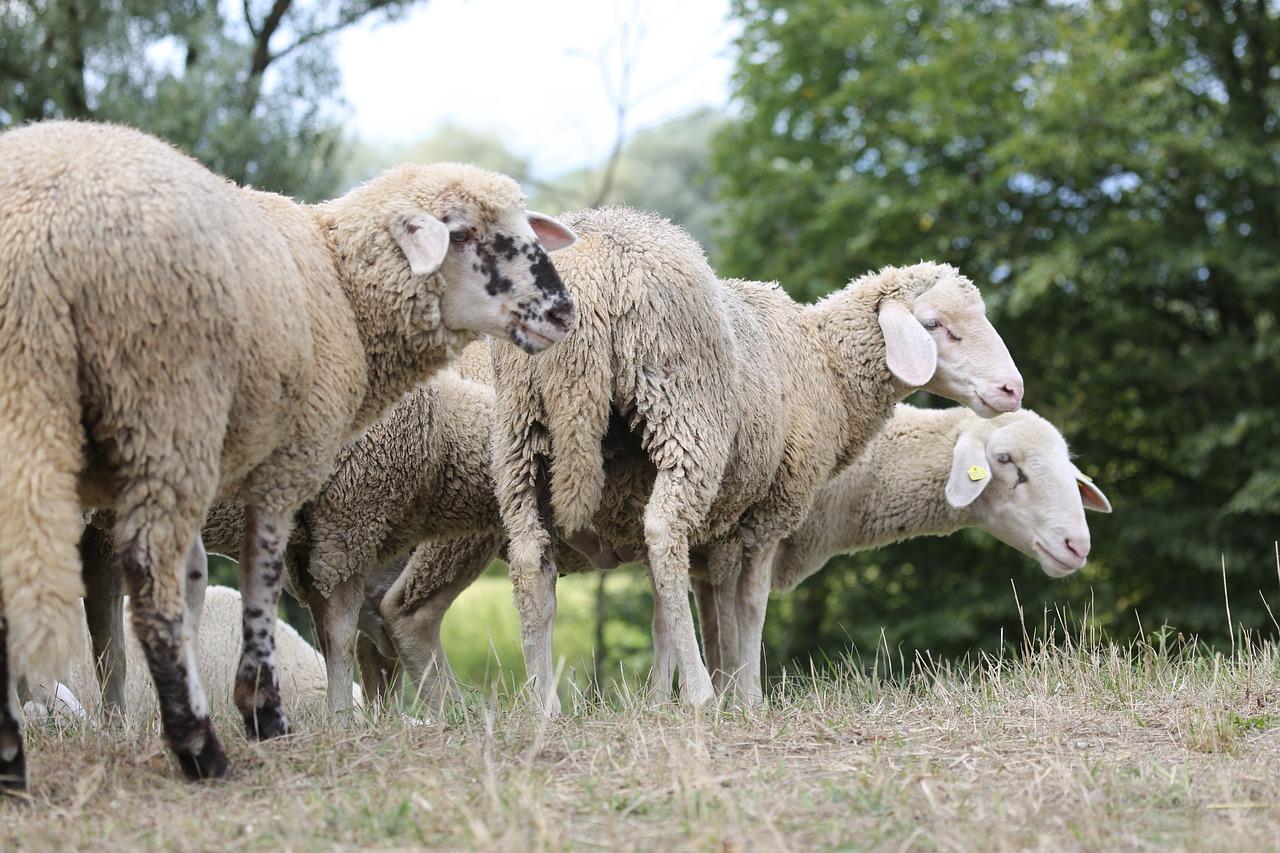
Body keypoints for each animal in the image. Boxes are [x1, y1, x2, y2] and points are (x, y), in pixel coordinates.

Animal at [0, 116, 576, 788]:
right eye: (461, 233)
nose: (562, 310)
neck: (341, 285)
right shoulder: (324, 499)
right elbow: (303, 609)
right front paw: (289, 717)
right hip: (148, 413)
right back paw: (184, 746)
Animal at [483, 206, 1024, 712]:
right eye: (933, 324)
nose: (1011, 389)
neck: (825, 367)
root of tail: (591, 262)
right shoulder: (770, 510)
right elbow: (748, 604)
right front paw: (744, 696)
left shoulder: (718, 525)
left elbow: (694, 605)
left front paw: (671, 697)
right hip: (685, 415)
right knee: (663, 530)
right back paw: (699, 694)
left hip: (522, 433)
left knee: (532, 557)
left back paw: (544, 704)